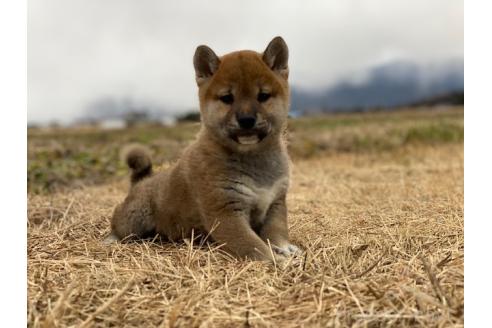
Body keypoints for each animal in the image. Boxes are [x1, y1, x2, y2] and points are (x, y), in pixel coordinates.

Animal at [108, 36, 300, 262]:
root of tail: (140, 182)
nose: (246, 120)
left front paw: (284, 248)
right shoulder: (225, 213)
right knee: (118, 222)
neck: (254, 160)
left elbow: (277, 232)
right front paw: (277, 261)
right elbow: (254, 247)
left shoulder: (276, 203)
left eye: (263, 96)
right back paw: (111, 238)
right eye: (227, 98)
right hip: (134, 218)